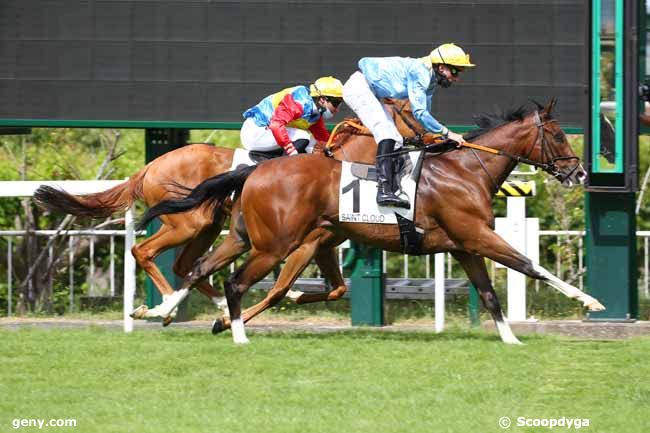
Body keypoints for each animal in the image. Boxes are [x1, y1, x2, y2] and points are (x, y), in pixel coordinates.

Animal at [142, 96, 604, 342]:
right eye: (558, 135)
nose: (580, 173)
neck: (465, 170)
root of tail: (254, 171)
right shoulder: (476, 236)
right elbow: (530, 265)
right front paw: (588, 300)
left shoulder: (463, 244)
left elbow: (490, 293)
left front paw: (510, 338)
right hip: (274, 244)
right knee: (232, 281)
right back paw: (233, 332)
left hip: (242, 236)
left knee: (198, 268)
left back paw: (166, 310)